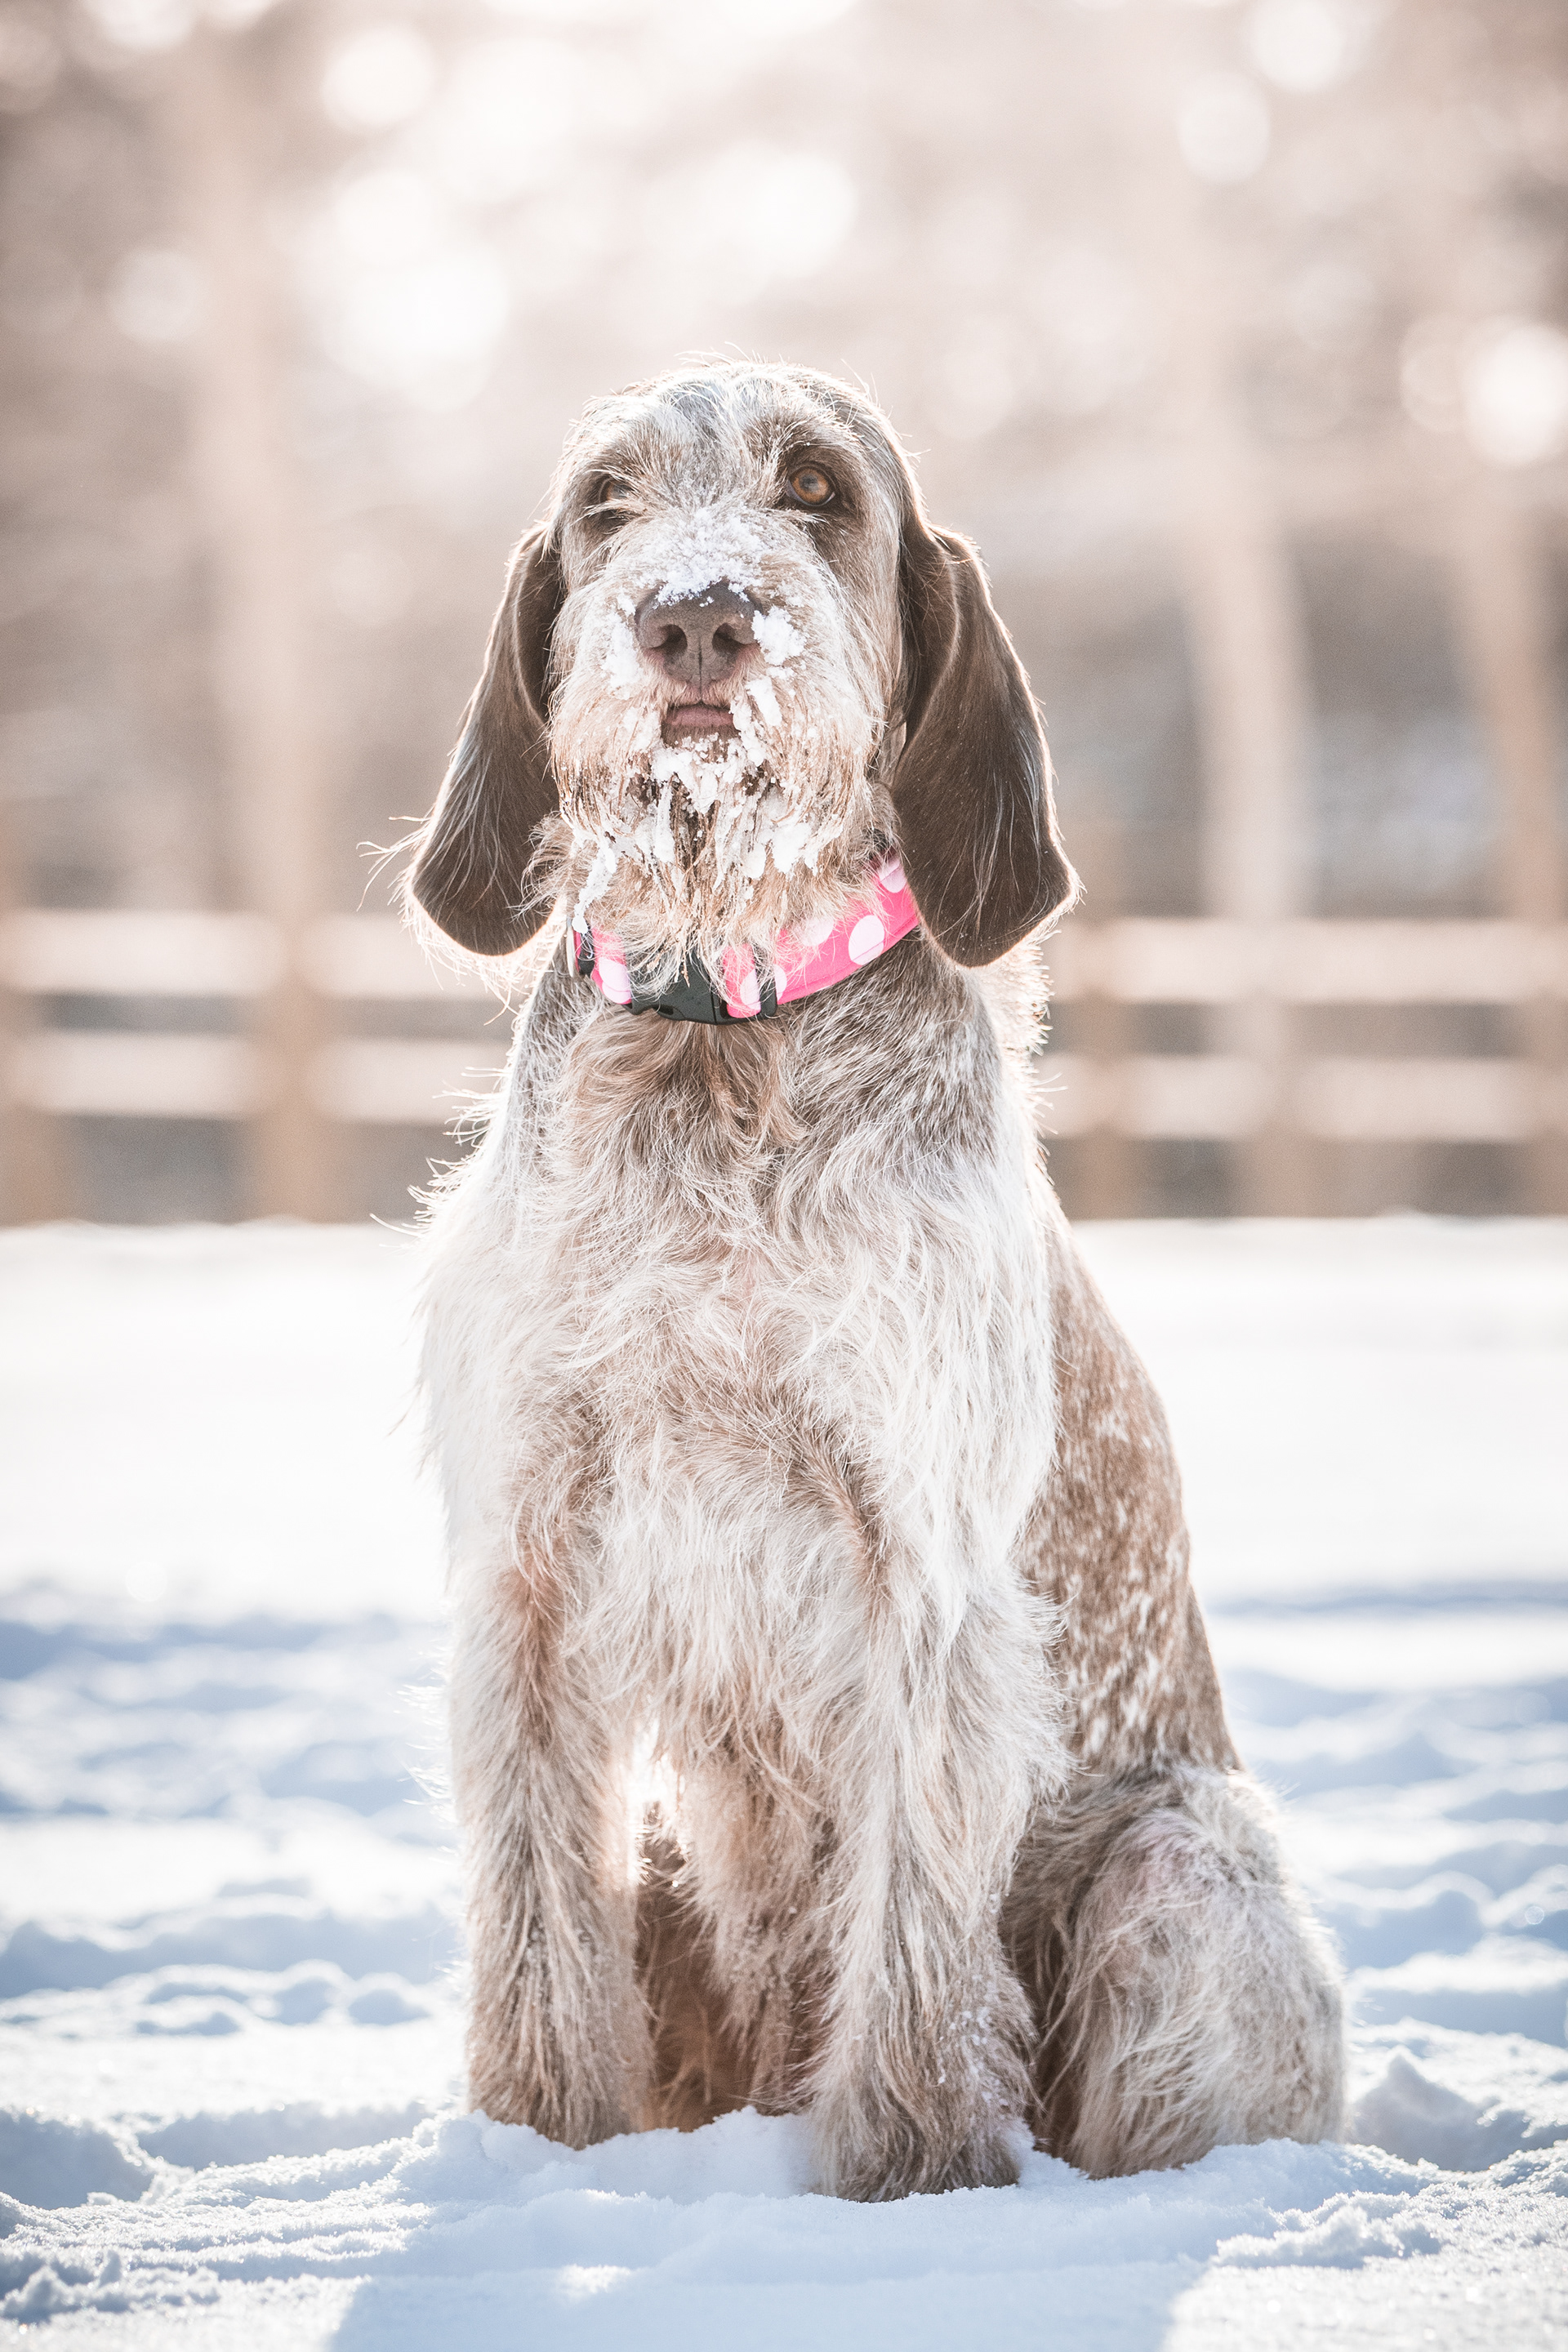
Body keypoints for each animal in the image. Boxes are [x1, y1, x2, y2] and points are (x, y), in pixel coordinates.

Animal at [407, 361, 1345, 2201]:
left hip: (1184, 1865)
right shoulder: (530, 1566)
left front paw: (911, 2184)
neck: (720, 1037)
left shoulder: (914, 1571)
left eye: (818, 491)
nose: (700, 617)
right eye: (607, 503)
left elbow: (912, 1930)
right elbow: (536, 1921)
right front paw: (534, 2150)